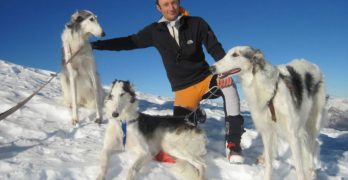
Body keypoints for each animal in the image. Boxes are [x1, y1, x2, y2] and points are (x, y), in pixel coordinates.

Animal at [211, 45, 328, 179]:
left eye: (235, 54)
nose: (211, 68)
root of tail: (313, 65)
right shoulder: (266, 130)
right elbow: (269, 162)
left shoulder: (292, 134)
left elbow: (299, 168)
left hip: (312, 122)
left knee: (311, 145)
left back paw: (311, 170)